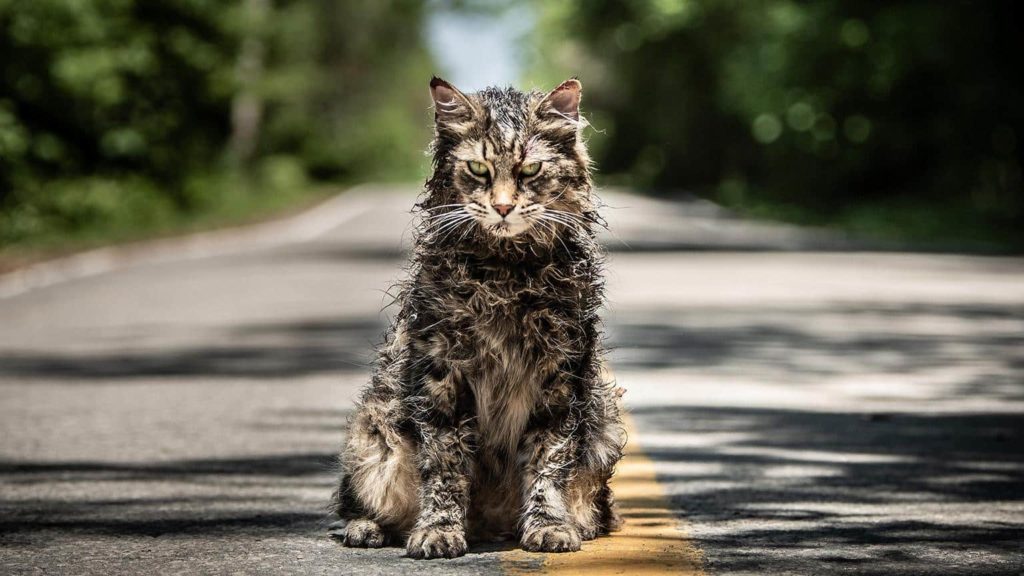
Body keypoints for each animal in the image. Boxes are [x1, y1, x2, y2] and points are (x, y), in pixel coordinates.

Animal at [331, 76, 622, 557]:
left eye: (530, 171)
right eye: (479, 169)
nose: (503, 208)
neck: (506, 274)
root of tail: (489, 526)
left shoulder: (560, 376)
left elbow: (548, 460)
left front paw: (549, 525)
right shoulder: (442, 374)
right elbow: (445, 465)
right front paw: (438, 530)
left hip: (605, 426)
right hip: (373, 432)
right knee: (357, 502)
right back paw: (368, 528)